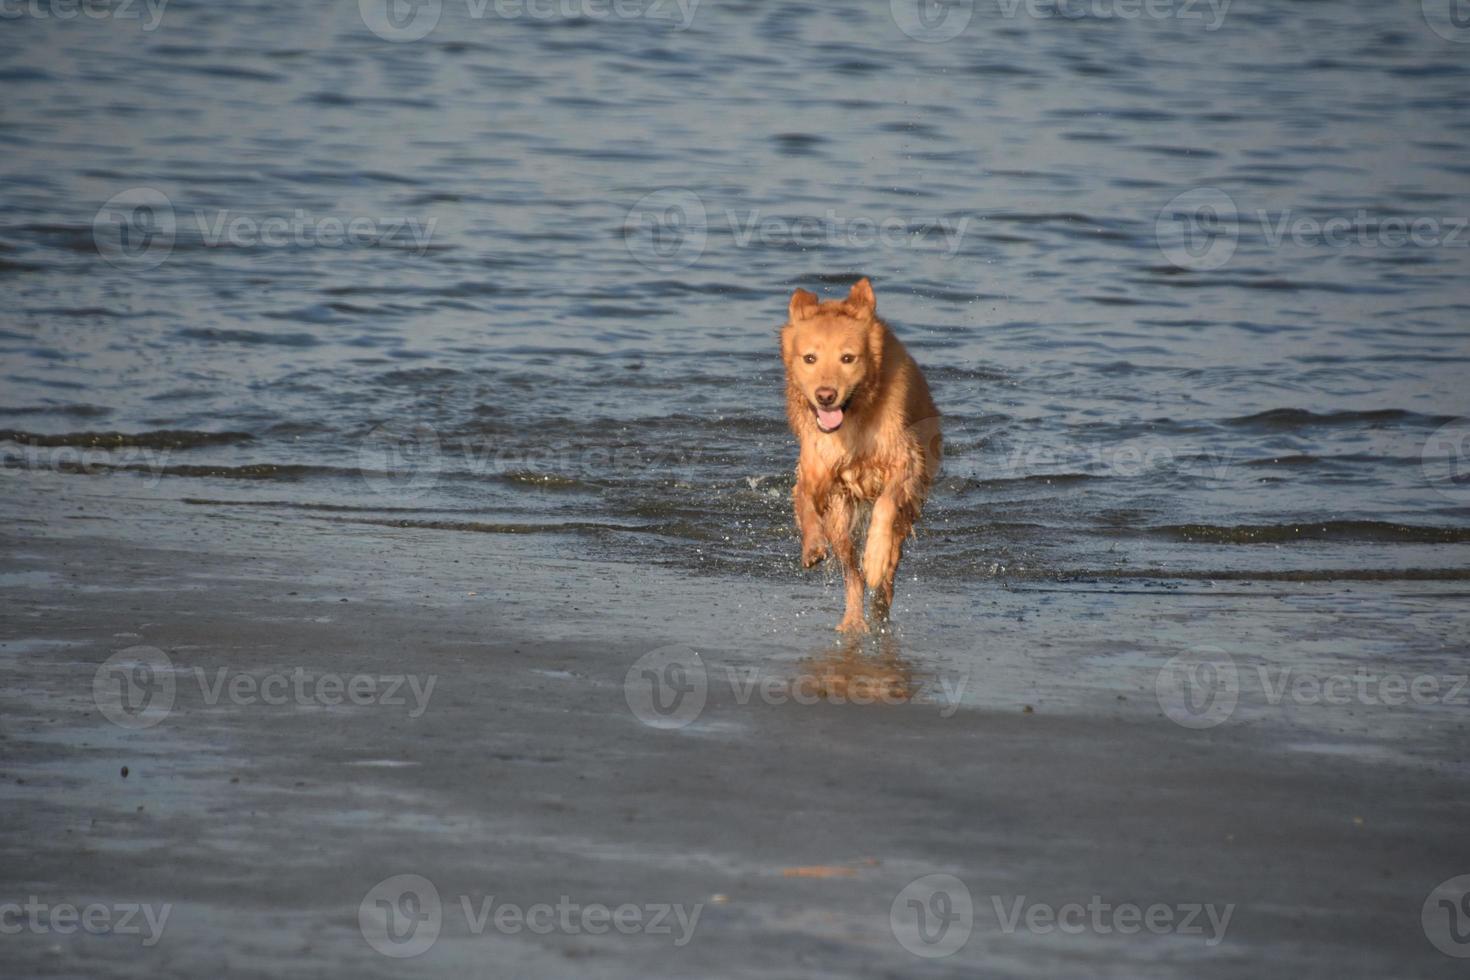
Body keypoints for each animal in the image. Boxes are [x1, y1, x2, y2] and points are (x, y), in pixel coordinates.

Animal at [782, 279, 940, 631]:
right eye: (810, 358)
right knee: (851, 573)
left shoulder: (904, 461)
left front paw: (875, 557)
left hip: (908, 509)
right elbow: (803, 497)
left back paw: (879, 597)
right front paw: (812, 544)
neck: (855, 416)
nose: (825, 396)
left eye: (848, 358)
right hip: (841, 520)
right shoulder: (815, 466)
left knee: (889, 571)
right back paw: (853, 621)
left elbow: (885, 505)